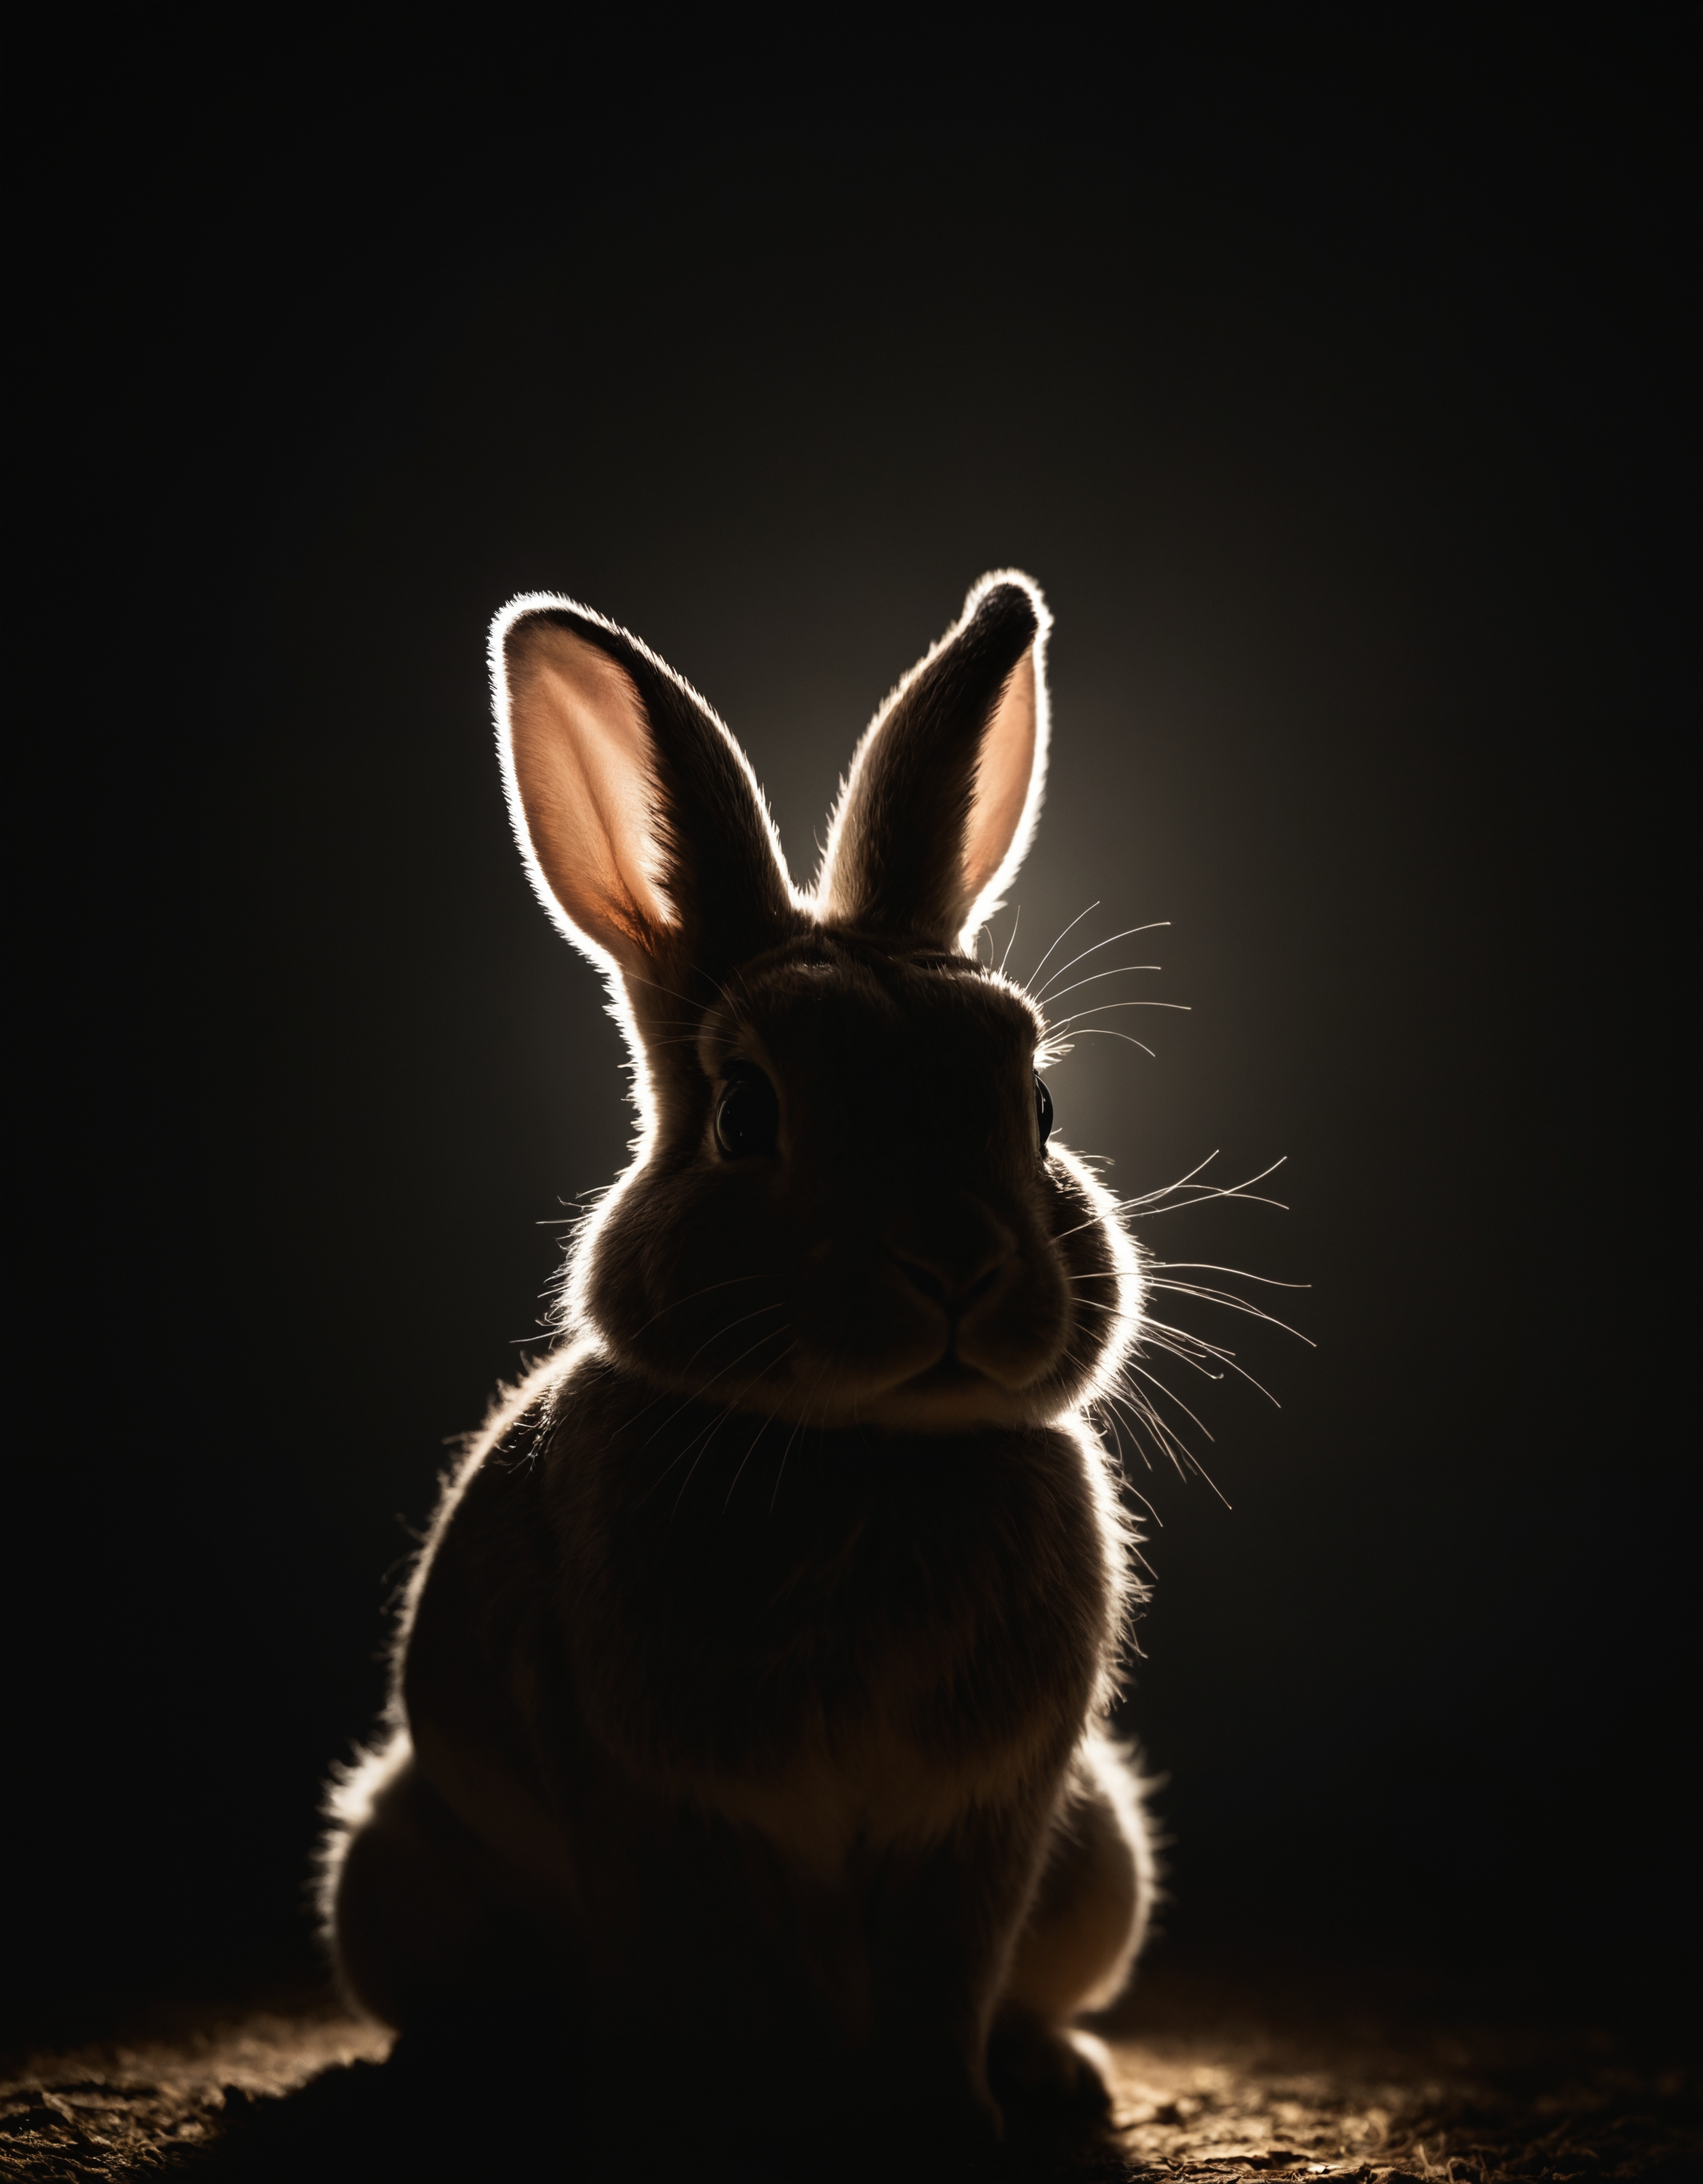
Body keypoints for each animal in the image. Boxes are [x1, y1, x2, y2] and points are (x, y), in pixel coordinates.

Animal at [318, 572, 1157, 2156]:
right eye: (748, 1115)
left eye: (1039, 1104)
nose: (956, 1267)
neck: (863, 1449)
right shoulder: (660, 1804)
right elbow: (704, 1984)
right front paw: (704, 2125)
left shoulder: (984, 1819)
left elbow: (943, 1986)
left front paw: (948, 2129)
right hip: (392, 1867)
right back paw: (464, 2069)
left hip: (1101, 1855)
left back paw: (1054, 2078)